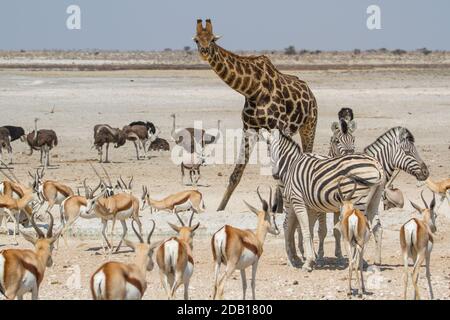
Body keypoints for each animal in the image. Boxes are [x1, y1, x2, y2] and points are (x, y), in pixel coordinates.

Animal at [195, 18, 318, 212]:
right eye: (196, 40)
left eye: (213, 39)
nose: (204, 51)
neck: (252, 89)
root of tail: (310, 93)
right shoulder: (249, 128)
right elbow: (236, 173)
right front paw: (220, 208)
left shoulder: (276, 127)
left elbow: (279, 170)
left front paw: (280, 210)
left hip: (309, 125)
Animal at [266, 129, 384, 270]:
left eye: (267, 144)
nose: (275, 175)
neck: (292, 165)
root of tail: (376, 164)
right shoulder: (310, 206)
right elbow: (308, 230)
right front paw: (311, 259)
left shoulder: (297, 201)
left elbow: (300, 228)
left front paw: (306, 261)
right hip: (373, 201)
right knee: (377, 228)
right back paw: (374, 262)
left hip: (358, 201)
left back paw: (355, 263)